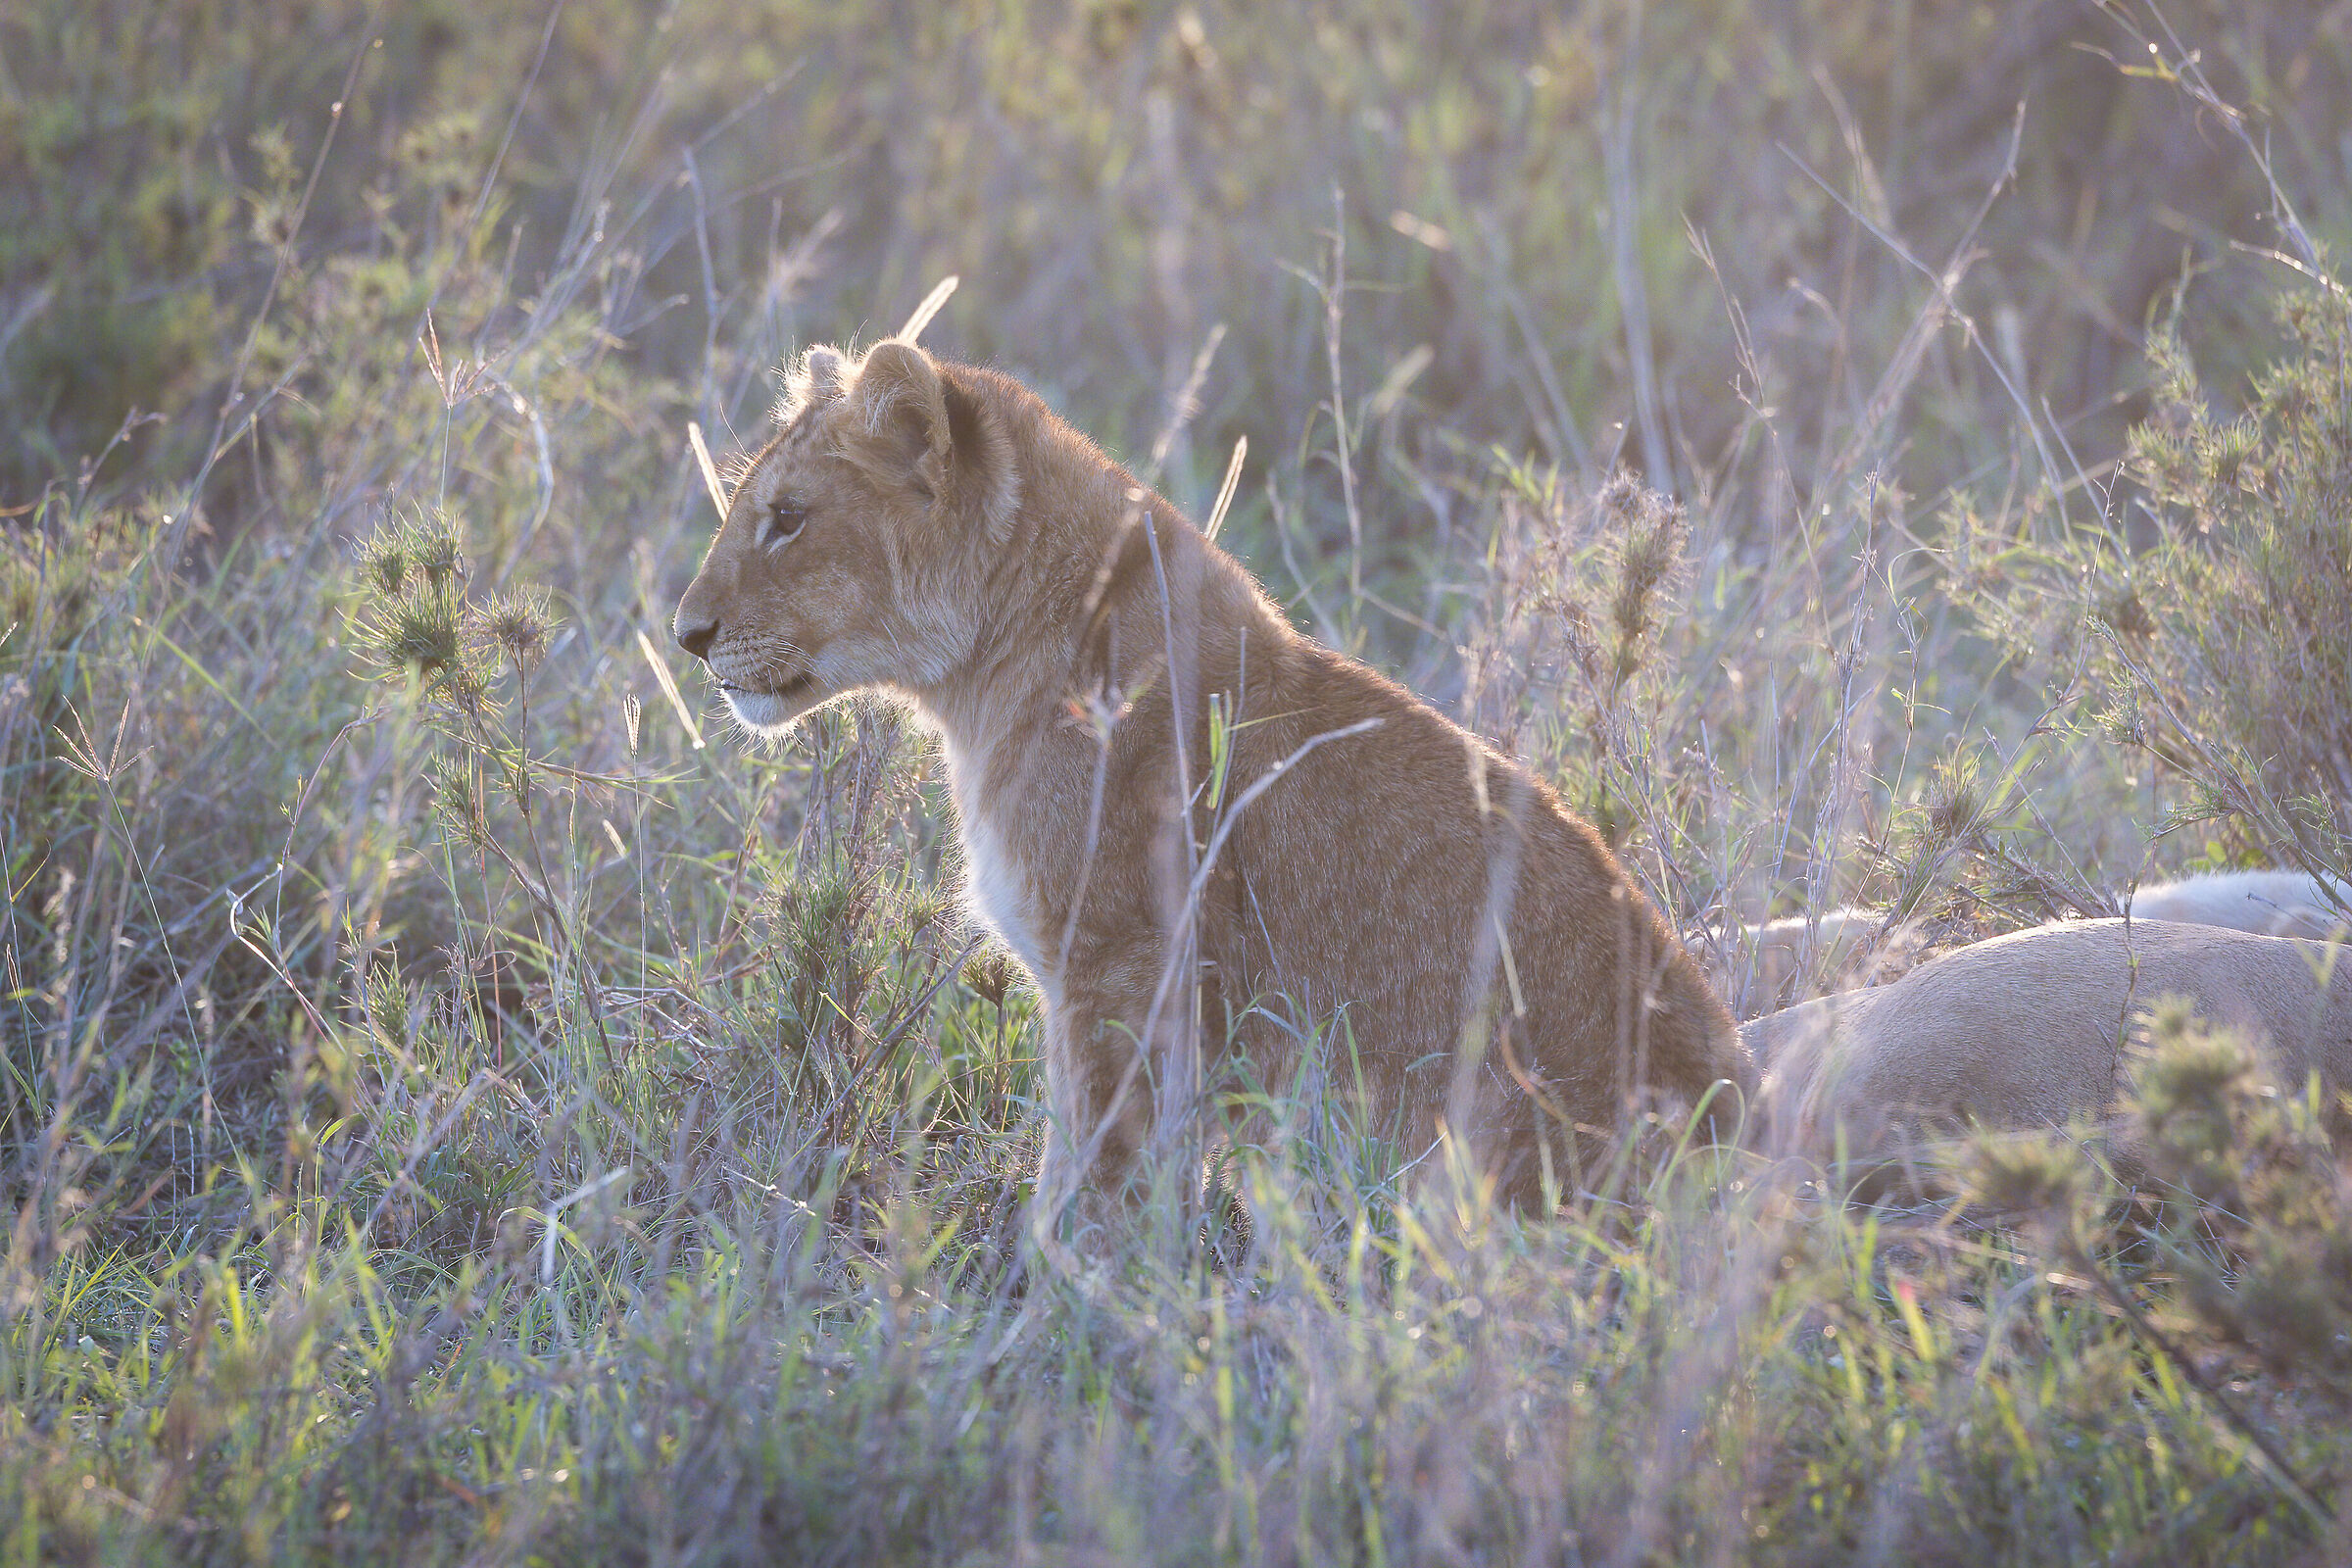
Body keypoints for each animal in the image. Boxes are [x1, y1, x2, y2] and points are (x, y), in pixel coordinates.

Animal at [672, 338, 1743, 1227]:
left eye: (788, 520)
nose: (687, 634)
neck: (990, 674)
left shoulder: (1123, 965)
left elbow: (1090, 1170)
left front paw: (1064, 1293)